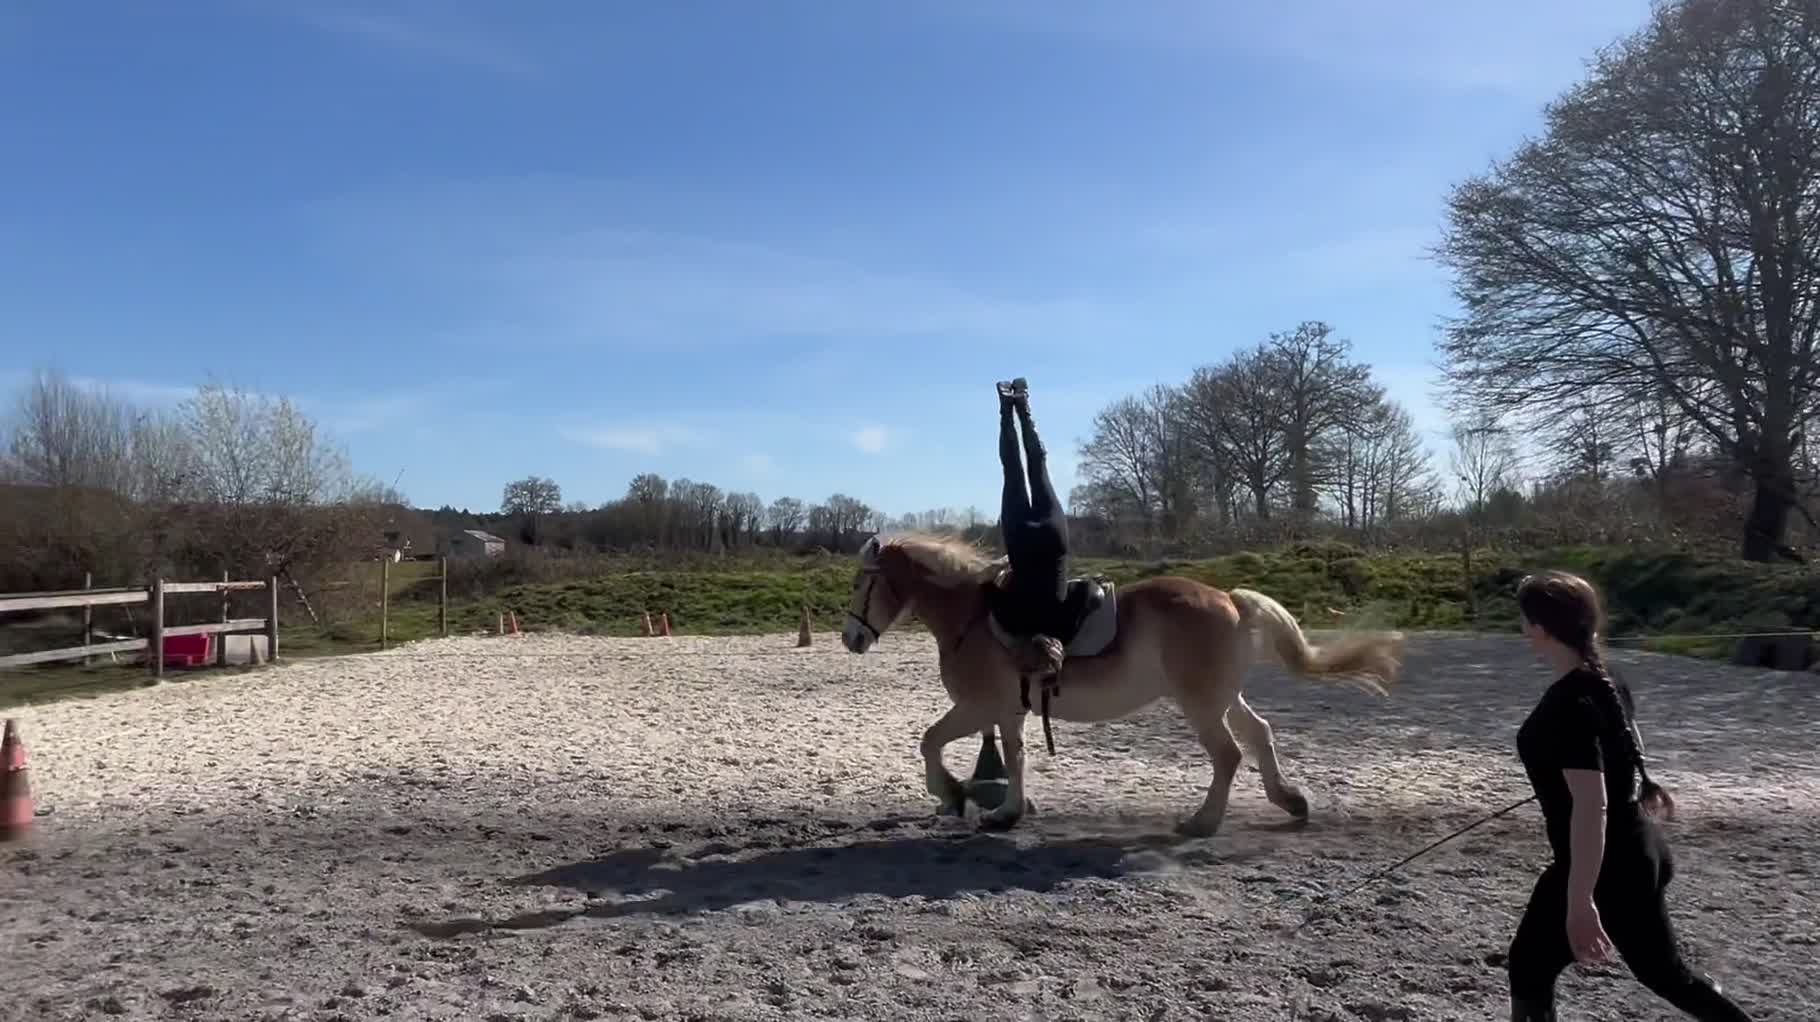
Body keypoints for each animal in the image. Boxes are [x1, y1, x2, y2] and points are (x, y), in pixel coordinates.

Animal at [839, 531, 1405, 837]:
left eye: (861, 582)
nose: (850, 638)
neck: (972, 618)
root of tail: (1230, 599)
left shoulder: (979, 708)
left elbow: (930, 741)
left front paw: (953, 794)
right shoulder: (1008, 712)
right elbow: (1015, 758)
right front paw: (1008, 811)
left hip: (1200, 704)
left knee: (1227, 755)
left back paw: (1202, 822)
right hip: (1221, 697)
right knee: (1259, 733)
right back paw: (1289, 801)